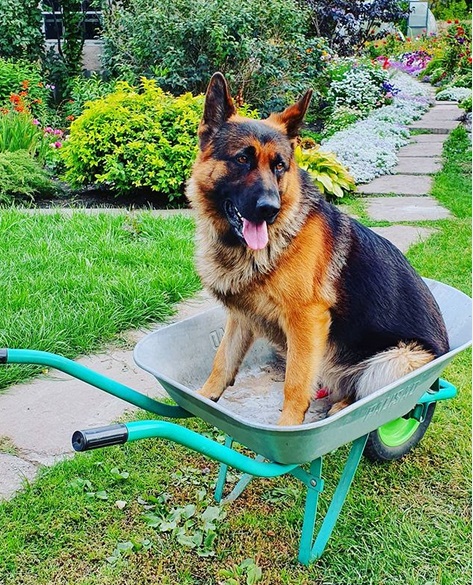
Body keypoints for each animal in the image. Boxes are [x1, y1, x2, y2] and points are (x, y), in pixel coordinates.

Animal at [185, 73, 446, 424]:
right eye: (242, 159)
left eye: (280, 166)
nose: (269, 209)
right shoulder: (242, 316)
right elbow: (222, 361)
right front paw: (203, 399)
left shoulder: (307, 321)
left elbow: (295, 385)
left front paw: (286, 429)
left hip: (394, 360)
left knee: (373, 397)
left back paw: (346, 408)